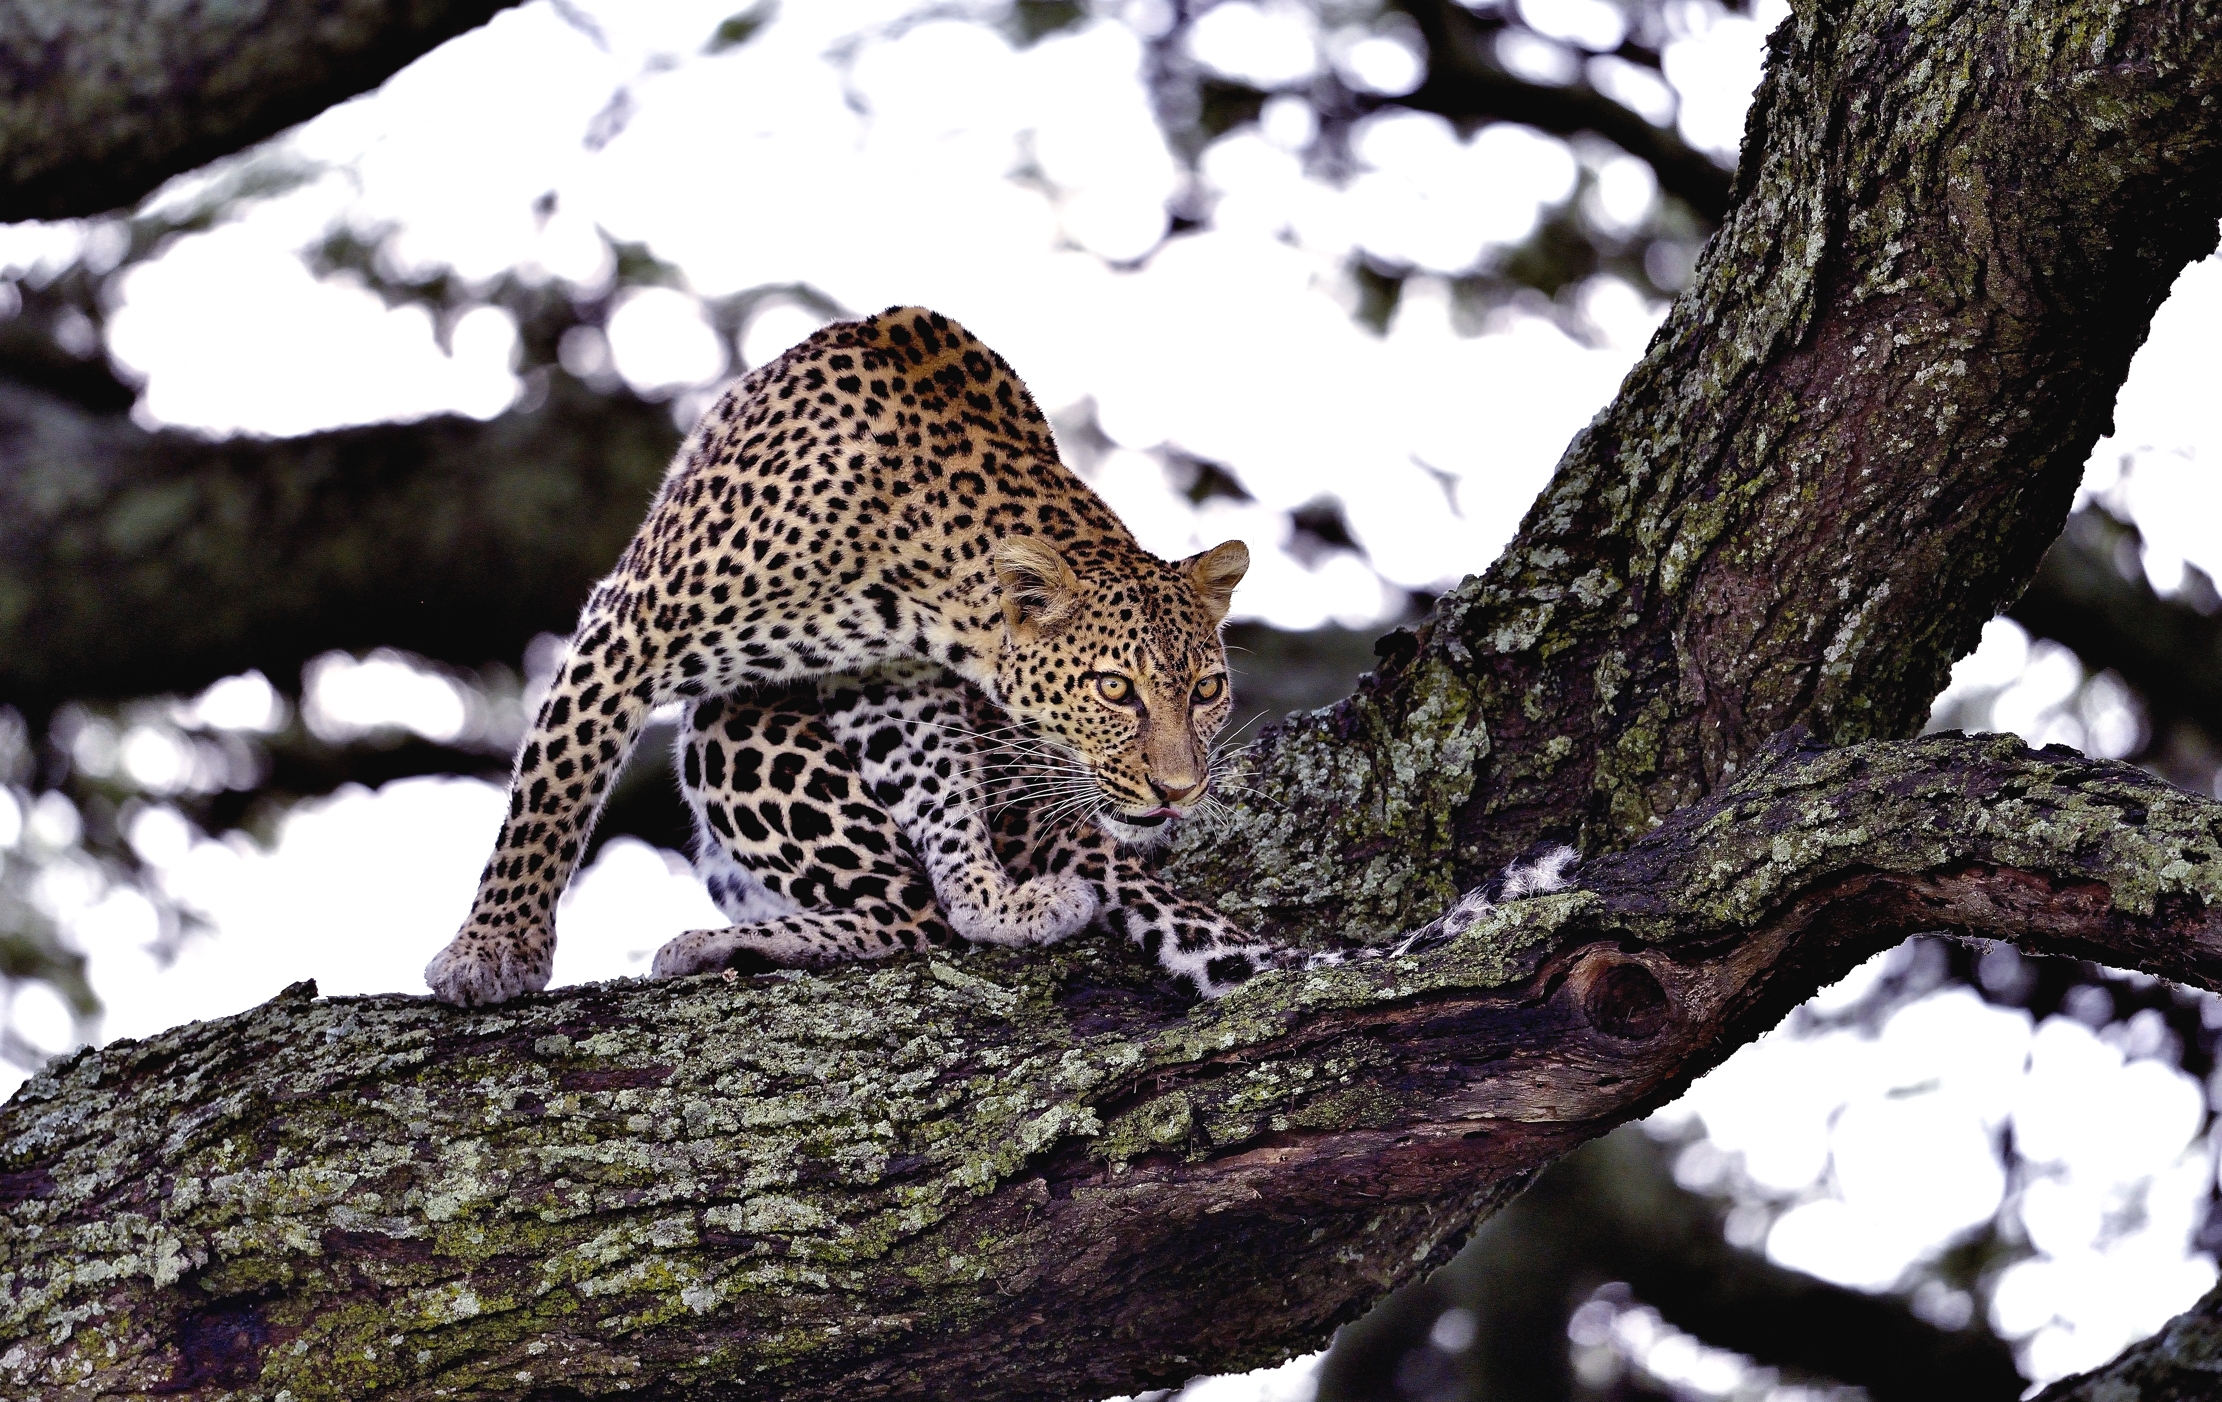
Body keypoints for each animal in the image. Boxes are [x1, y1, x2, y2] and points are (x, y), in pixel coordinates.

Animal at [424, 306, 1258, 1006]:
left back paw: (723, 947)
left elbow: (938, 791)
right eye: (1114, 689)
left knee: (912, 916)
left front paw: (987, 901)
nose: (1179, 790)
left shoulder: (886, 678)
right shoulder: (634, 621)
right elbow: (553, 786)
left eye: (1208, 689)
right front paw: (494, 948)